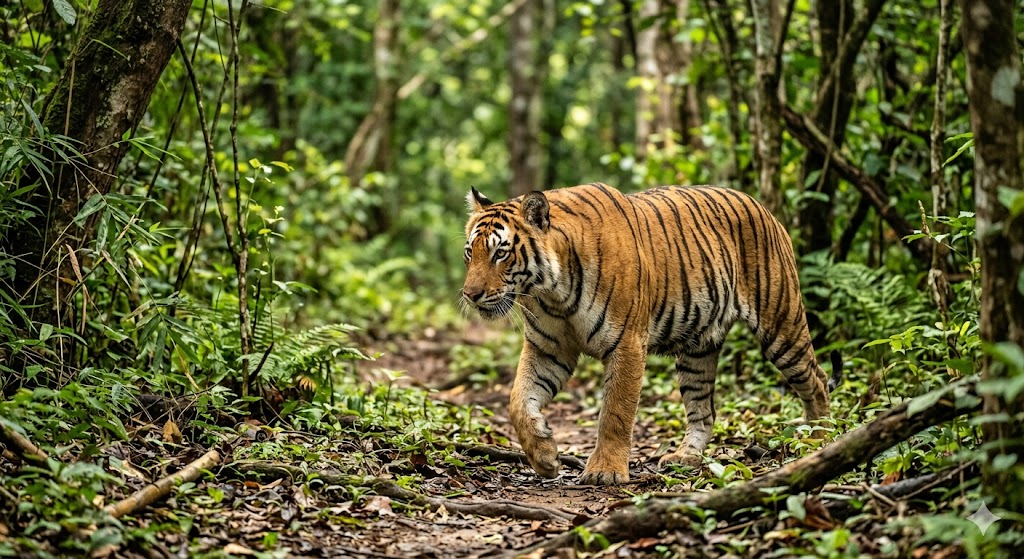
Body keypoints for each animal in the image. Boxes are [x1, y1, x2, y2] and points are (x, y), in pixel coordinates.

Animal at [461, 182, 833, 485]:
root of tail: (765, 208)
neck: (552, 292)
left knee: (816, 378)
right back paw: (685, 457)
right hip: (698, 350)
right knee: (704, 409)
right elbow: (518, 401)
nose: (470, 294)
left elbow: (616, 412)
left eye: (500, 253)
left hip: (781, 324)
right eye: (470, 252)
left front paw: (605, 471)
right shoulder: (548, 349)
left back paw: (820, 440)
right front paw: (545, 457)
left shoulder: (626, 343)